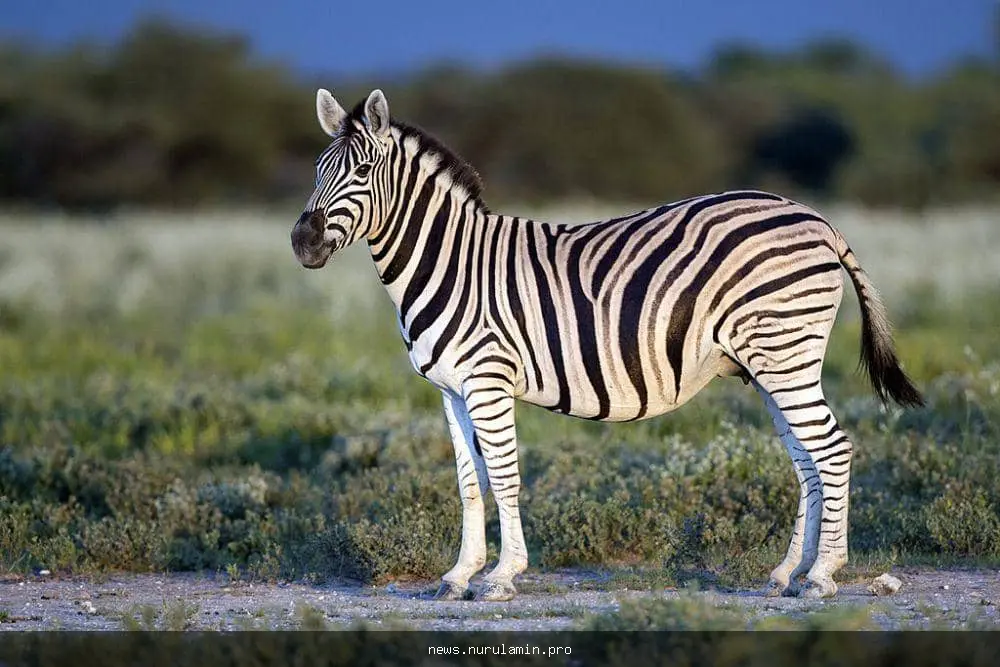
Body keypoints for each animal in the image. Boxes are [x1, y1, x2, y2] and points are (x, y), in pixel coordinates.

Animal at [291, 88, 924, 602]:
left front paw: (501, 577)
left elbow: (504, 476)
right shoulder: (450, 389)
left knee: (832, 449)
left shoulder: (488, 379)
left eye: (362, 170)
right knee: (808, 461)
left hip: (785, 353)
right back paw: (788, 572)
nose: (302, 242)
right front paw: (458, 575)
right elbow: (470, 483)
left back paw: (822, 577)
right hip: (772, 363)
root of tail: (816, 218)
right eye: (317, 170)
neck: (450, 261)